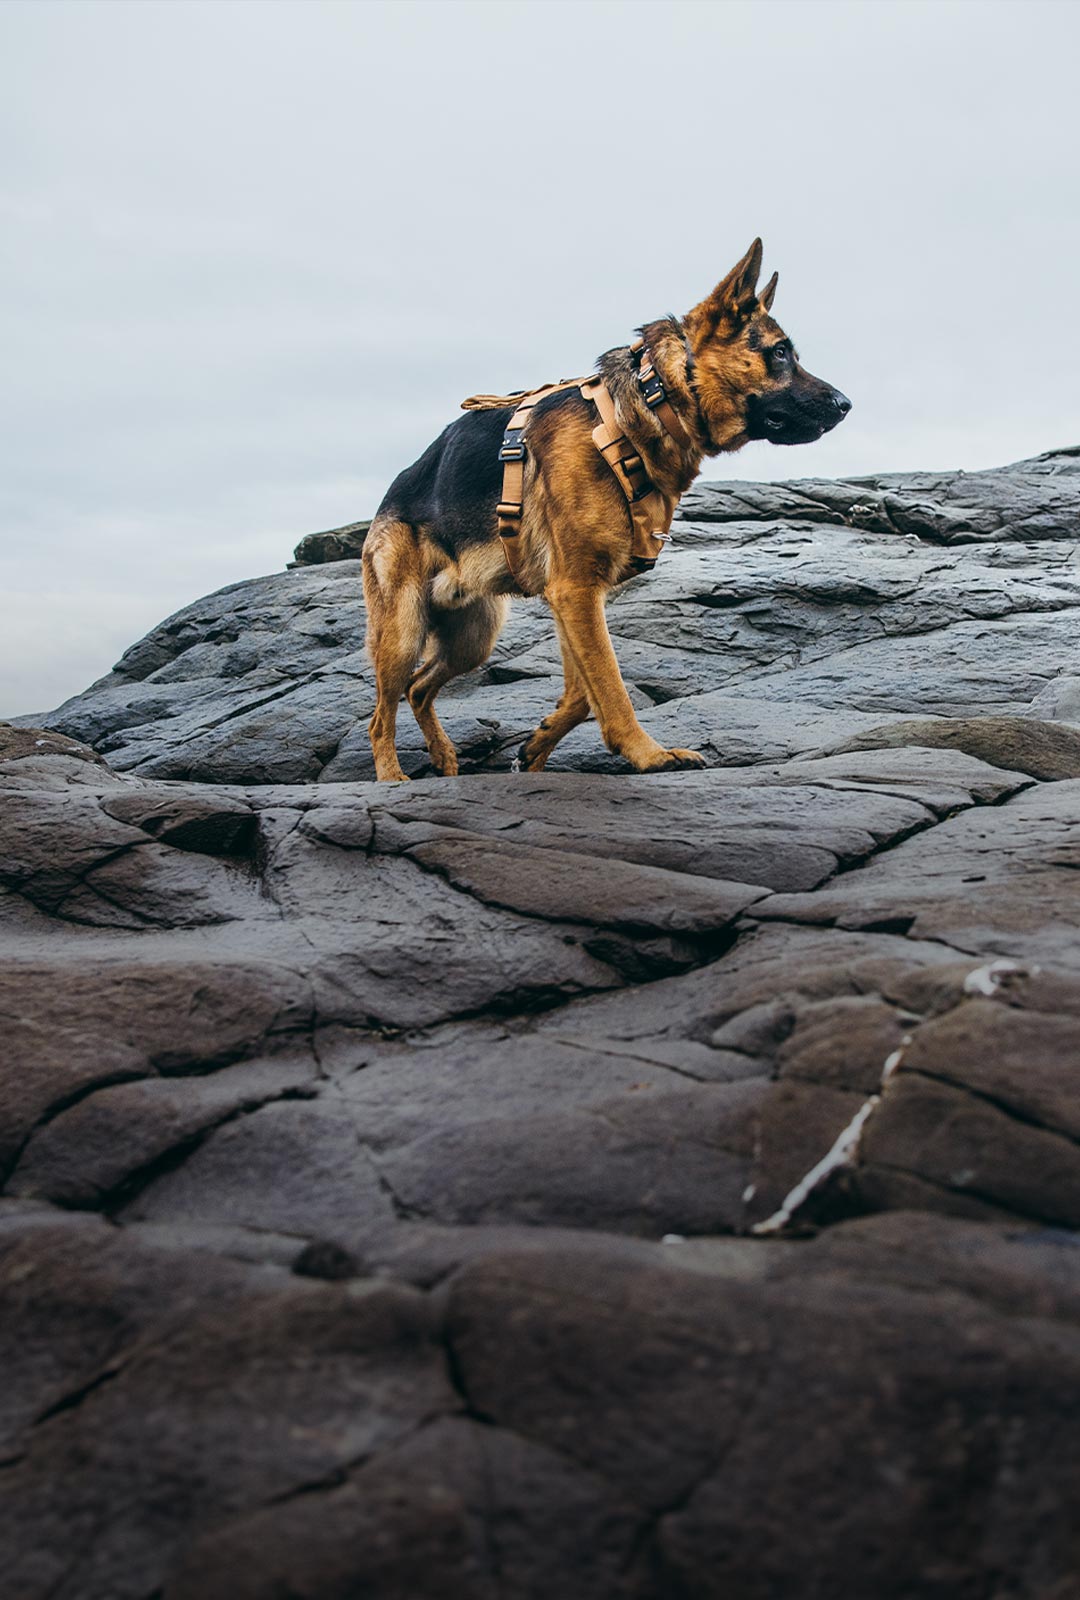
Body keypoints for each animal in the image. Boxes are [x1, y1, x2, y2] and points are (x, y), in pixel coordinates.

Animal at [363, 236, 851, 780]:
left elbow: (583, 691)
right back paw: (392, 776)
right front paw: (649, 755)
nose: (845, 404)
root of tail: (390, 495)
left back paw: (445, 758)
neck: (650, 402)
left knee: (418, 688)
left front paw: (536, 748)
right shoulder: (575, 589)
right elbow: (611, 687)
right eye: (780, 353)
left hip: (473, 637)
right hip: (403, 630)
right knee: (381, 713)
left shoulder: (574, 596)